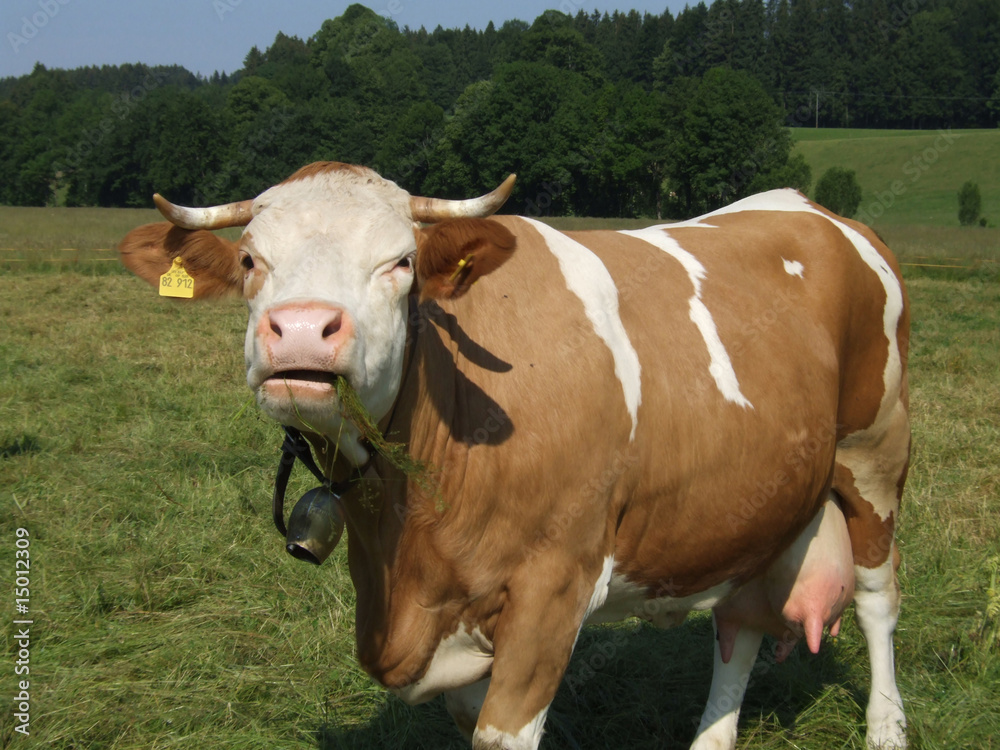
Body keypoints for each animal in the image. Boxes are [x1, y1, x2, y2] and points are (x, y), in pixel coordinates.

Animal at [118, 161, 910, 750]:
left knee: (877, 598)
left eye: (401, 263)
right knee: (738, 626)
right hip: (748, 505)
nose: (305, 330)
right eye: (252, 260)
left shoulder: (552, 587)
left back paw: (887, 728)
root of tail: (808, 205)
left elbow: (504, 731)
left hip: (876, 456)